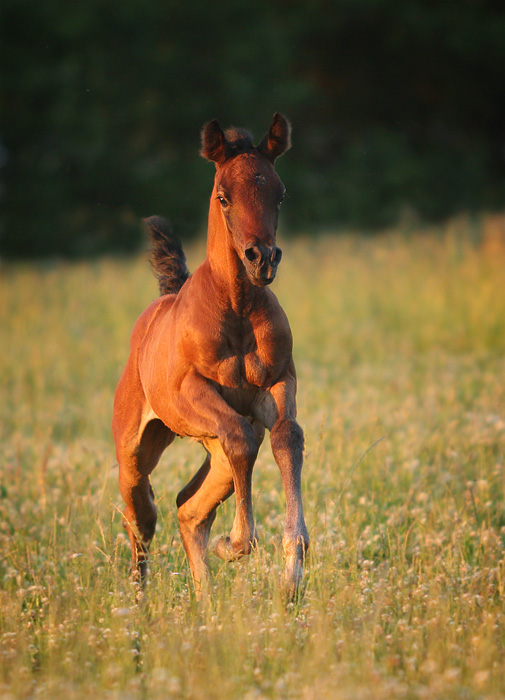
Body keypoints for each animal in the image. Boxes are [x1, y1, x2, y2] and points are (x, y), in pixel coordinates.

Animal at [112, 112, 310, 592]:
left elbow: (286, 437)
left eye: (280, 193)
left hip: (211, 449)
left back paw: (205, 602)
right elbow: (241, 435)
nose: (262, 258)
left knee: (189, 506)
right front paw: (235, 544)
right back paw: (137, 600)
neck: (236, 308)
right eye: (223, 196)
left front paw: (292, 574)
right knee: (142, 513)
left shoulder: (278, 384)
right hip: (136, 450)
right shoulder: (191, 390)